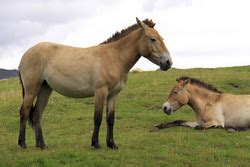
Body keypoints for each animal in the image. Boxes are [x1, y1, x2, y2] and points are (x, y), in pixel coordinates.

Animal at [18, 17, 173, 149]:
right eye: (153, 39)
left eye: (162, 38)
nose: (168, 62)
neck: (114, 57)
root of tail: (26, 54)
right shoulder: (100, 92)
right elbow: (97, 118)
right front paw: (96, 144)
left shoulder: (113, 95)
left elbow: (110, 119)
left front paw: (111, 144)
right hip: (32, 90)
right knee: (24, 112)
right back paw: (22, 144)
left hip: (45, 89)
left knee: (36, 114)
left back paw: (41, 144)